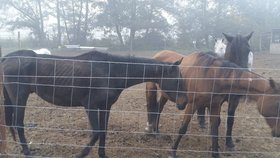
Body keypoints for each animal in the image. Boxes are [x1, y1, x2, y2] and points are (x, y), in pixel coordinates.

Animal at [2, 49, 187, 158]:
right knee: (18, 124)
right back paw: (27, 152)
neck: (111, 71)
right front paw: (80, 154)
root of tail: (7, 58)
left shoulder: (105, 107)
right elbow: (97, 132)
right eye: (178, 80)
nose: (184, 103)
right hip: (20, 98)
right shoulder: (90, 106)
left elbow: (103, 132)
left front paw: (102, 154)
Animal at [145, 50, 280, 158]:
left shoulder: (214, 106)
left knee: (159, 108)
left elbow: (215, 129)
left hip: (165, 95)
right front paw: (173, 151)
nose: (277, 133)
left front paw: (215, 153)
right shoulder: (192, 105)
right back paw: (155, 132)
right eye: (277, 104)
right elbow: (183, 128)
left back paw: (157, 131)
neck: (211, 76)